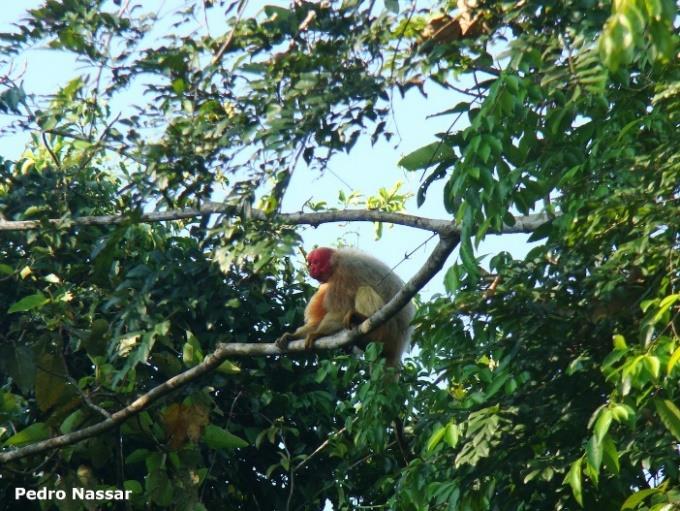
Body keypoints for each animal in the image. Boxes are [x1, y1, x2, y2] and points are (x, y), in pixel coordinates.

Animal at [274, 248, 414, 368]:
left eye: (316, 262)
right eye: (310, 263)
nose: (311, 268)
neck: (335, 265)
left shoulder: (345, 271)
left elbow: (340, 312)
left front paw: (317, 334)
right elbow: (317, 322)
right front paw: (292, 336)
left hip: (391, 331)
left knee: (364, 290)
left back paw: (363, 320)